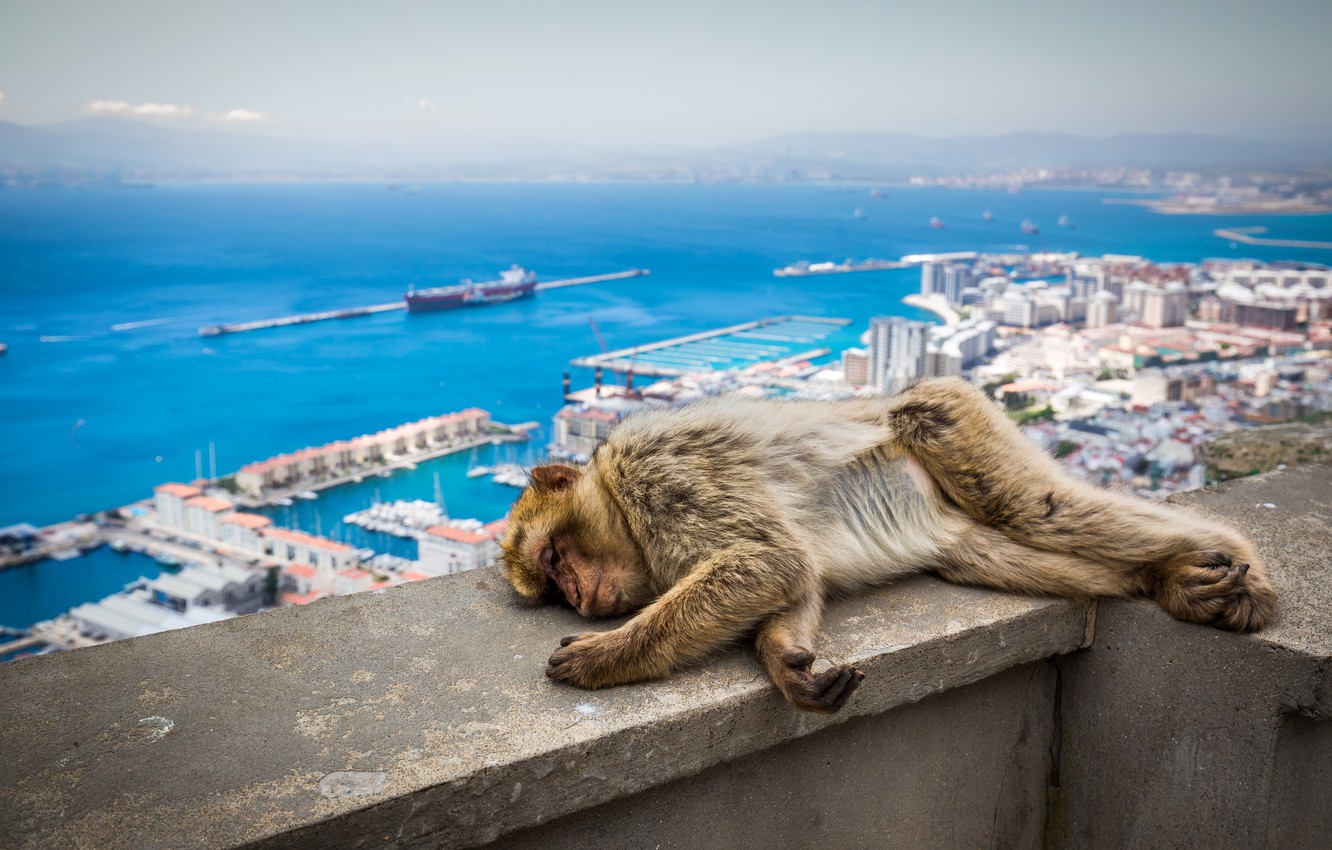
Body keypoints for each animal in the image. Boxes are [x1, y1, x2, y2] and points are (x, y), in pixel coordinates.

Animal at [500, 377, 1275, 714]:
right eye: (551, 586)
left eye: (552, 559)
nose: (576, 597)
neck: (619, 501)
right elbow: (795, 574)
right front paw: (788, 665)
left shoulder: (659, 473)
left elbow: (768, 561)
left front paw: (602, 657)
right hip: (955, 523)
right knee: (1002, 550)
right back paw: (1173, 581)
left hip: (947, 418)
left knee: (1040, 509)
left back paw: (1238, 565)